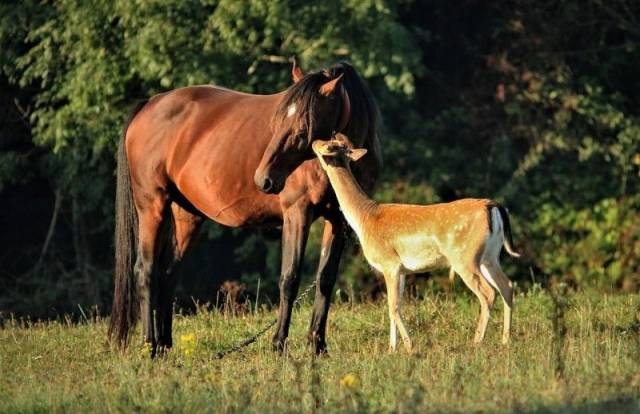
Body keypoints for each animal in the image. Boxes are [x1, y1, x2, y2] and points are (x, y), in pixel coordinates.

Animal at [109, 61, 380, 356]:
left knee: (168, 272)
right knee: (145, 271)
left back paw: (165, 345)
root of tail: (150, 104)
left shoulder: (339, 220)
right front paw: (278, 345)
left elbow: (325, 280)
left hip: (186, 216)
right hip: (152, 206)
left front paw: (317, 346)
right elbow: (290, 278)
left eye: (302, 128)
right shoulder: (297, 214)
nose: (263, 180)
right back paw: (149, 346)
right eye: (277, 122)